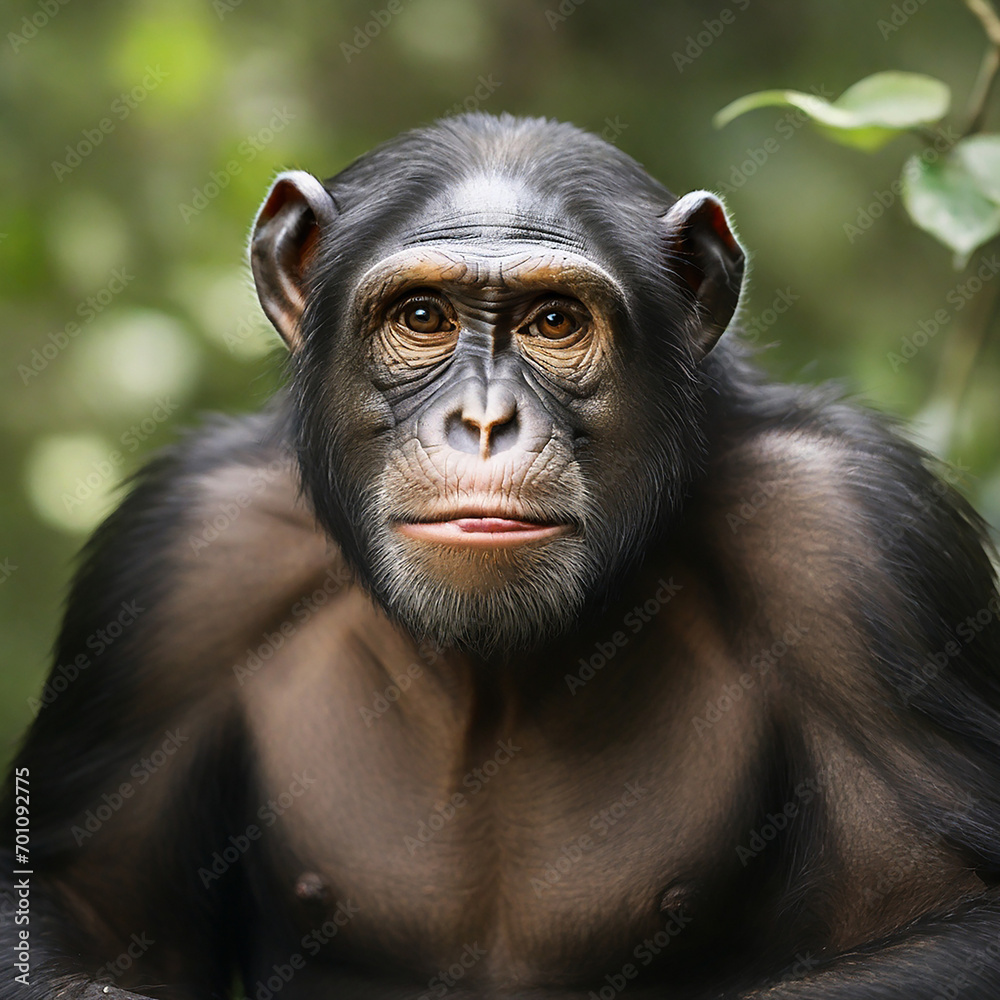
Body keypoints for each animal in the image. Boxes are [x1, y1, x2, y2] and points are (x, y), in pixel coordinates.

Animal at [2, 111, 1000, 999]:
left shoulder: (858, 541)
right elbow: (83, 907)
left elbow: (948, 912)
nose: (484, 421)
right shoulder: (180, 565)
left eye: (555, 321)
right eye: (423, 315)